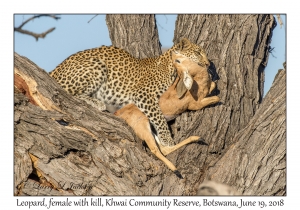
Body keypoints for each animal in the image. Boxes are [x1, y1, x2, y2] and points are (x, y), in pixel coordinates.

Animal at [49, 37, 209, 147]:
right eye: (198, 53)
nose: (208, 64)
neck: (170, 67)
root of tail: (54, 70)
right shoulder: (143, 94)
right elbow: (159, 117)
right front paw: (167, 140)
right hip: (96, 65)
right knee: (66, 92)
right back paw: (97, 102)